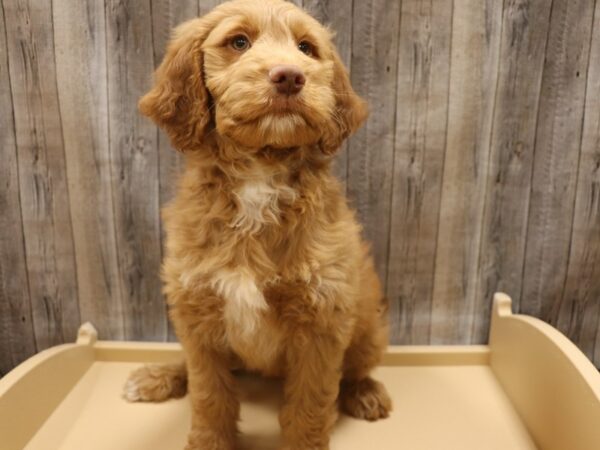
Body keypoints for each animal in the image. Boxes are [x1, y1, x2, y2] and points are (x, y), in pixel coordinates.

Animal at [123, 1, 392, 448]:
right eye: (238, 42)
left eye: (306, 48)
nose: (290, 76)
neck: (258, 176)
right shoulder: (198, 312)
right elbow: (208, 393)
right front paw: (209, 441)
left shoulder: (323, 320)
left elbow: (310, 406)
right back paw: (157, 377)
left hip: (369, 325)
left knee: (357, 366)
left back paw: (365, 392)